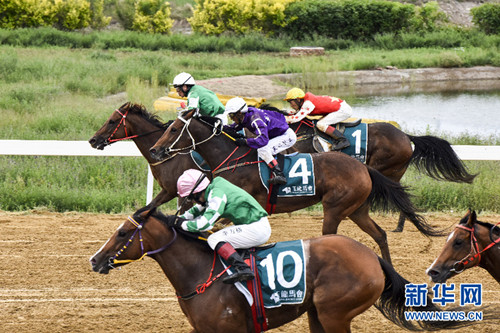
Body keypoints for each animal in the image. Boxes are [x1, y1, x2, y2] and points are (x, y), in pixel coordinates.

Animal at [88, 209, 482, 330]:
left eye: (122, 233)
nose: (94, 259)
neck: (203, 274)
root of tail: (372, 257)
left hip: (334, 312)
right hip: (317, 314)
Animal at [147, 110, 442, 264]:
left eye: (173, 129)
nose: (155, 150)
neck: (231, 159)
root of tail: (362, 168)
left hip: (336, 209)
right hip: (357, 210)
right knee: (380, 234)